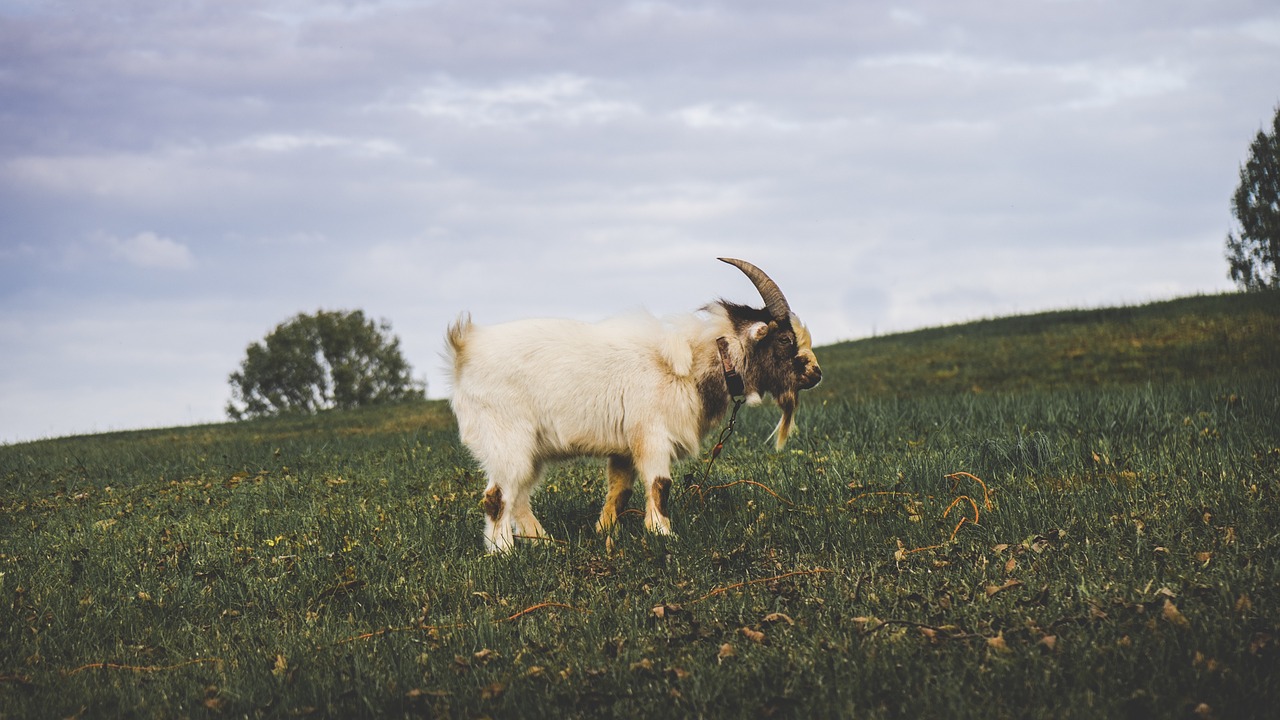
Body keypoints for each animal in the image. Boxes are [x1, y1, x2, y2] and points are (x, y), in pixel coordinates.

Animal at [445, 256, 819, 548]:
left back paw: (544, 542)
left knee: (519, 496)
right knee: (497, 497)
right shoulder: (652, 436)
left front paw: (603, 532)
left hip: (530, 451)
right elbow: (660, 485)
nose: (815, 374)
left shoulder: (624, 448)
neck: (692, 365)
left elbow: (620, 492)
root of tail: (465, 349)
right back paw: (504, 554)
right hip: (507, 440)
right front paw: (664, 535)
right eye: (785, 340)